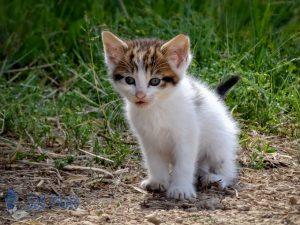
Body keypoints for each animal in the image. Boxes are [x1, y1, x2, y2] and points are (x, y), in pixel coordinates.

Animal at [101, 31, 239, 199]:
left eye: (155, 81)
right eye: (129, 80)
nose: (140, 95)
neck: (156, 109)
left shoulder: (187, 135)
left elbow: (184, 164)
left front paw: (181, 189)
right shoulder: (147, 138)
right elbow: (154, 161)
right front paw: (158, 181)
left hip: (219, 145)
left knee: (227, 168)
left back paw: (216, 178)